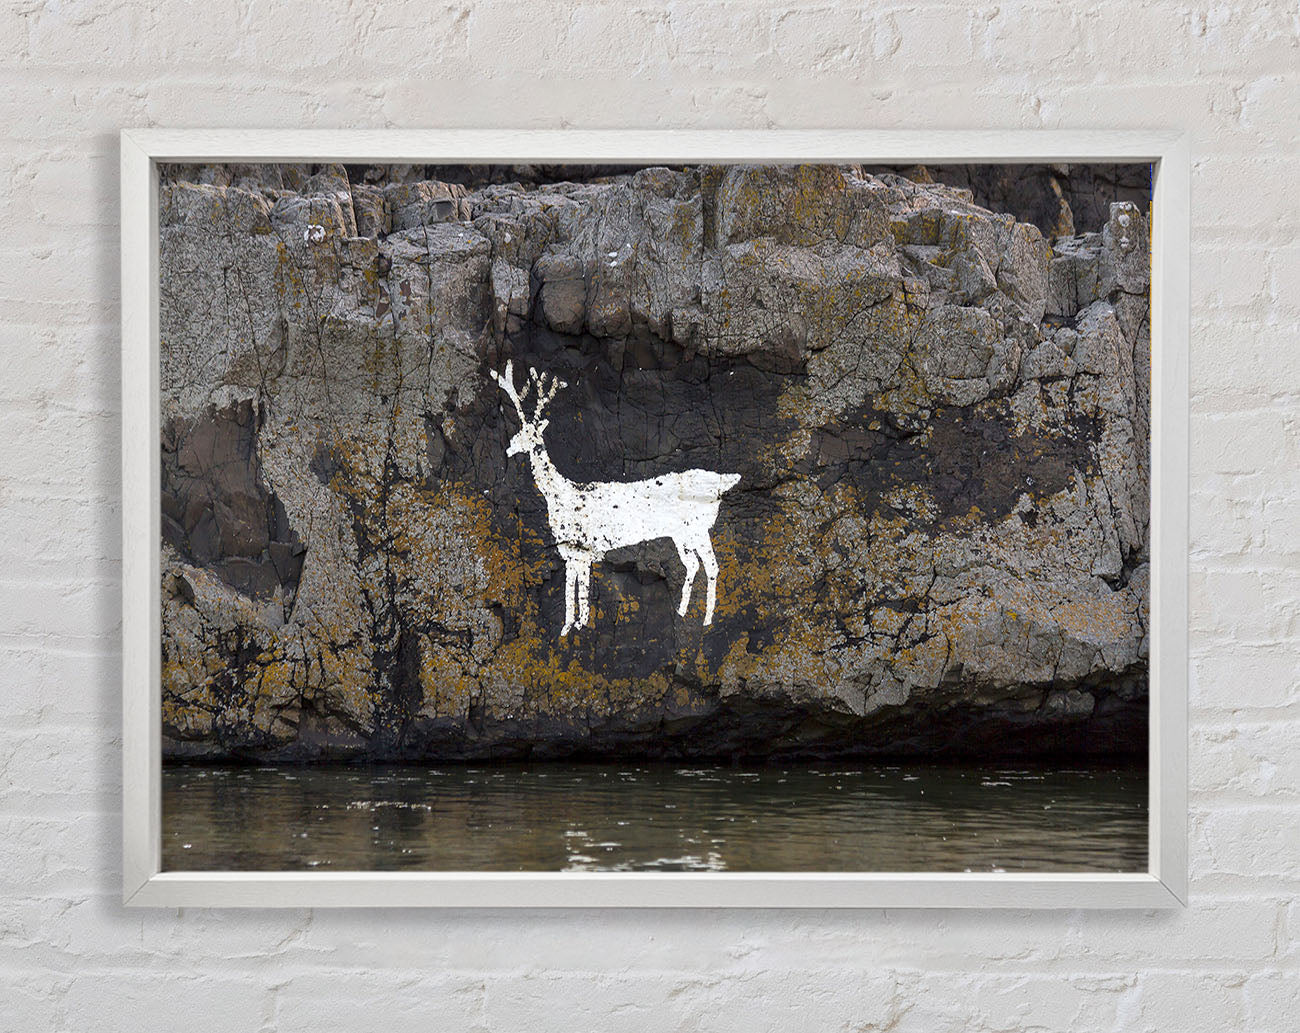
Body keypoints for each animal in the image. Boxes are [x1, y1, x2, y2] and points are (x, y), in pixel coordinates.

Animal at [493, 361, 741, 637]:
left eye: (527, 433)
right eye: (518, 431)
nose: (508, 448)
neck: (561, 496)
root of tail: (722, 482)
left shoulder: (583, 547)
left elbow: (580, 587)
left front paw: (579, 623)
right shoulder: (570, 550)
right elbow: (572, 586)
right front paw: (569, 626)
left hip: (697, 529)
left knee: (711, 565)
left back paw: (706, 619)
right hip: (682, 535)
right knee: (694, 565)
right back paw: (683, 611)